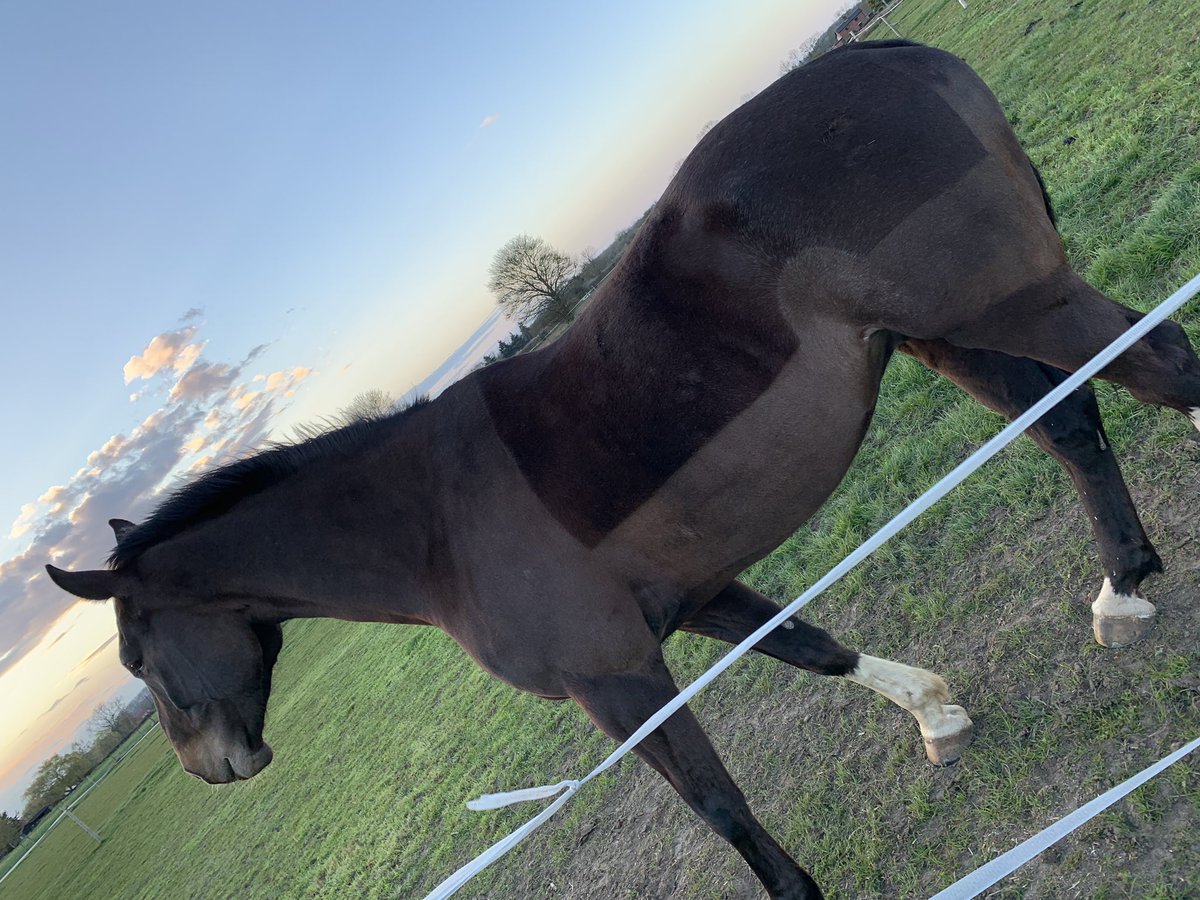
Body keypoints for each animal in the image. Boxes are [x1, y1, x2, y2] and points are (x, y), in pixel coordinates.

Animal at [47, 41, 1200, 899]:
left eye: (137, 660)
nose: (212, 767)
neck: (431, 525)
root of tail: (889, 56)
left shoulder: (615, 682)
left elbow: (717, 804)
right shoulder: (696, 599)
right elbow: (817, 650)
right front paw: (935, 715)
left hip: (1017, 304)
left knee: (1164, 368)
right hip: (948, 335)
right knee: (1076, 426)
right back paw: (1121, 589)